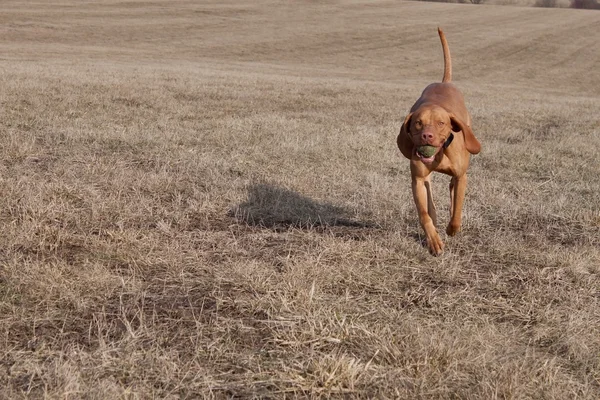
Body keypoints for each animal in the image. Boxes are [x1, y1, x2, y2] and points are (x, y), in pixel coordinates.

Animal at [398, 29, 482, 258]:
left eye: (441, 123)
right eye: (418, 123)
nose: (427, 136)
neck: (440, 153)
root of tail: (444, 82)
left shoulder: (462, 176)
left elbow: (457, 209)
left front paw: (452, 229)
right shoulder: (417, 180)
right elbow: (424, 214)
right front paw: (433, 240)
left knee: (452, 189)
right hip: (425, 179)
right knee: (431, 199)